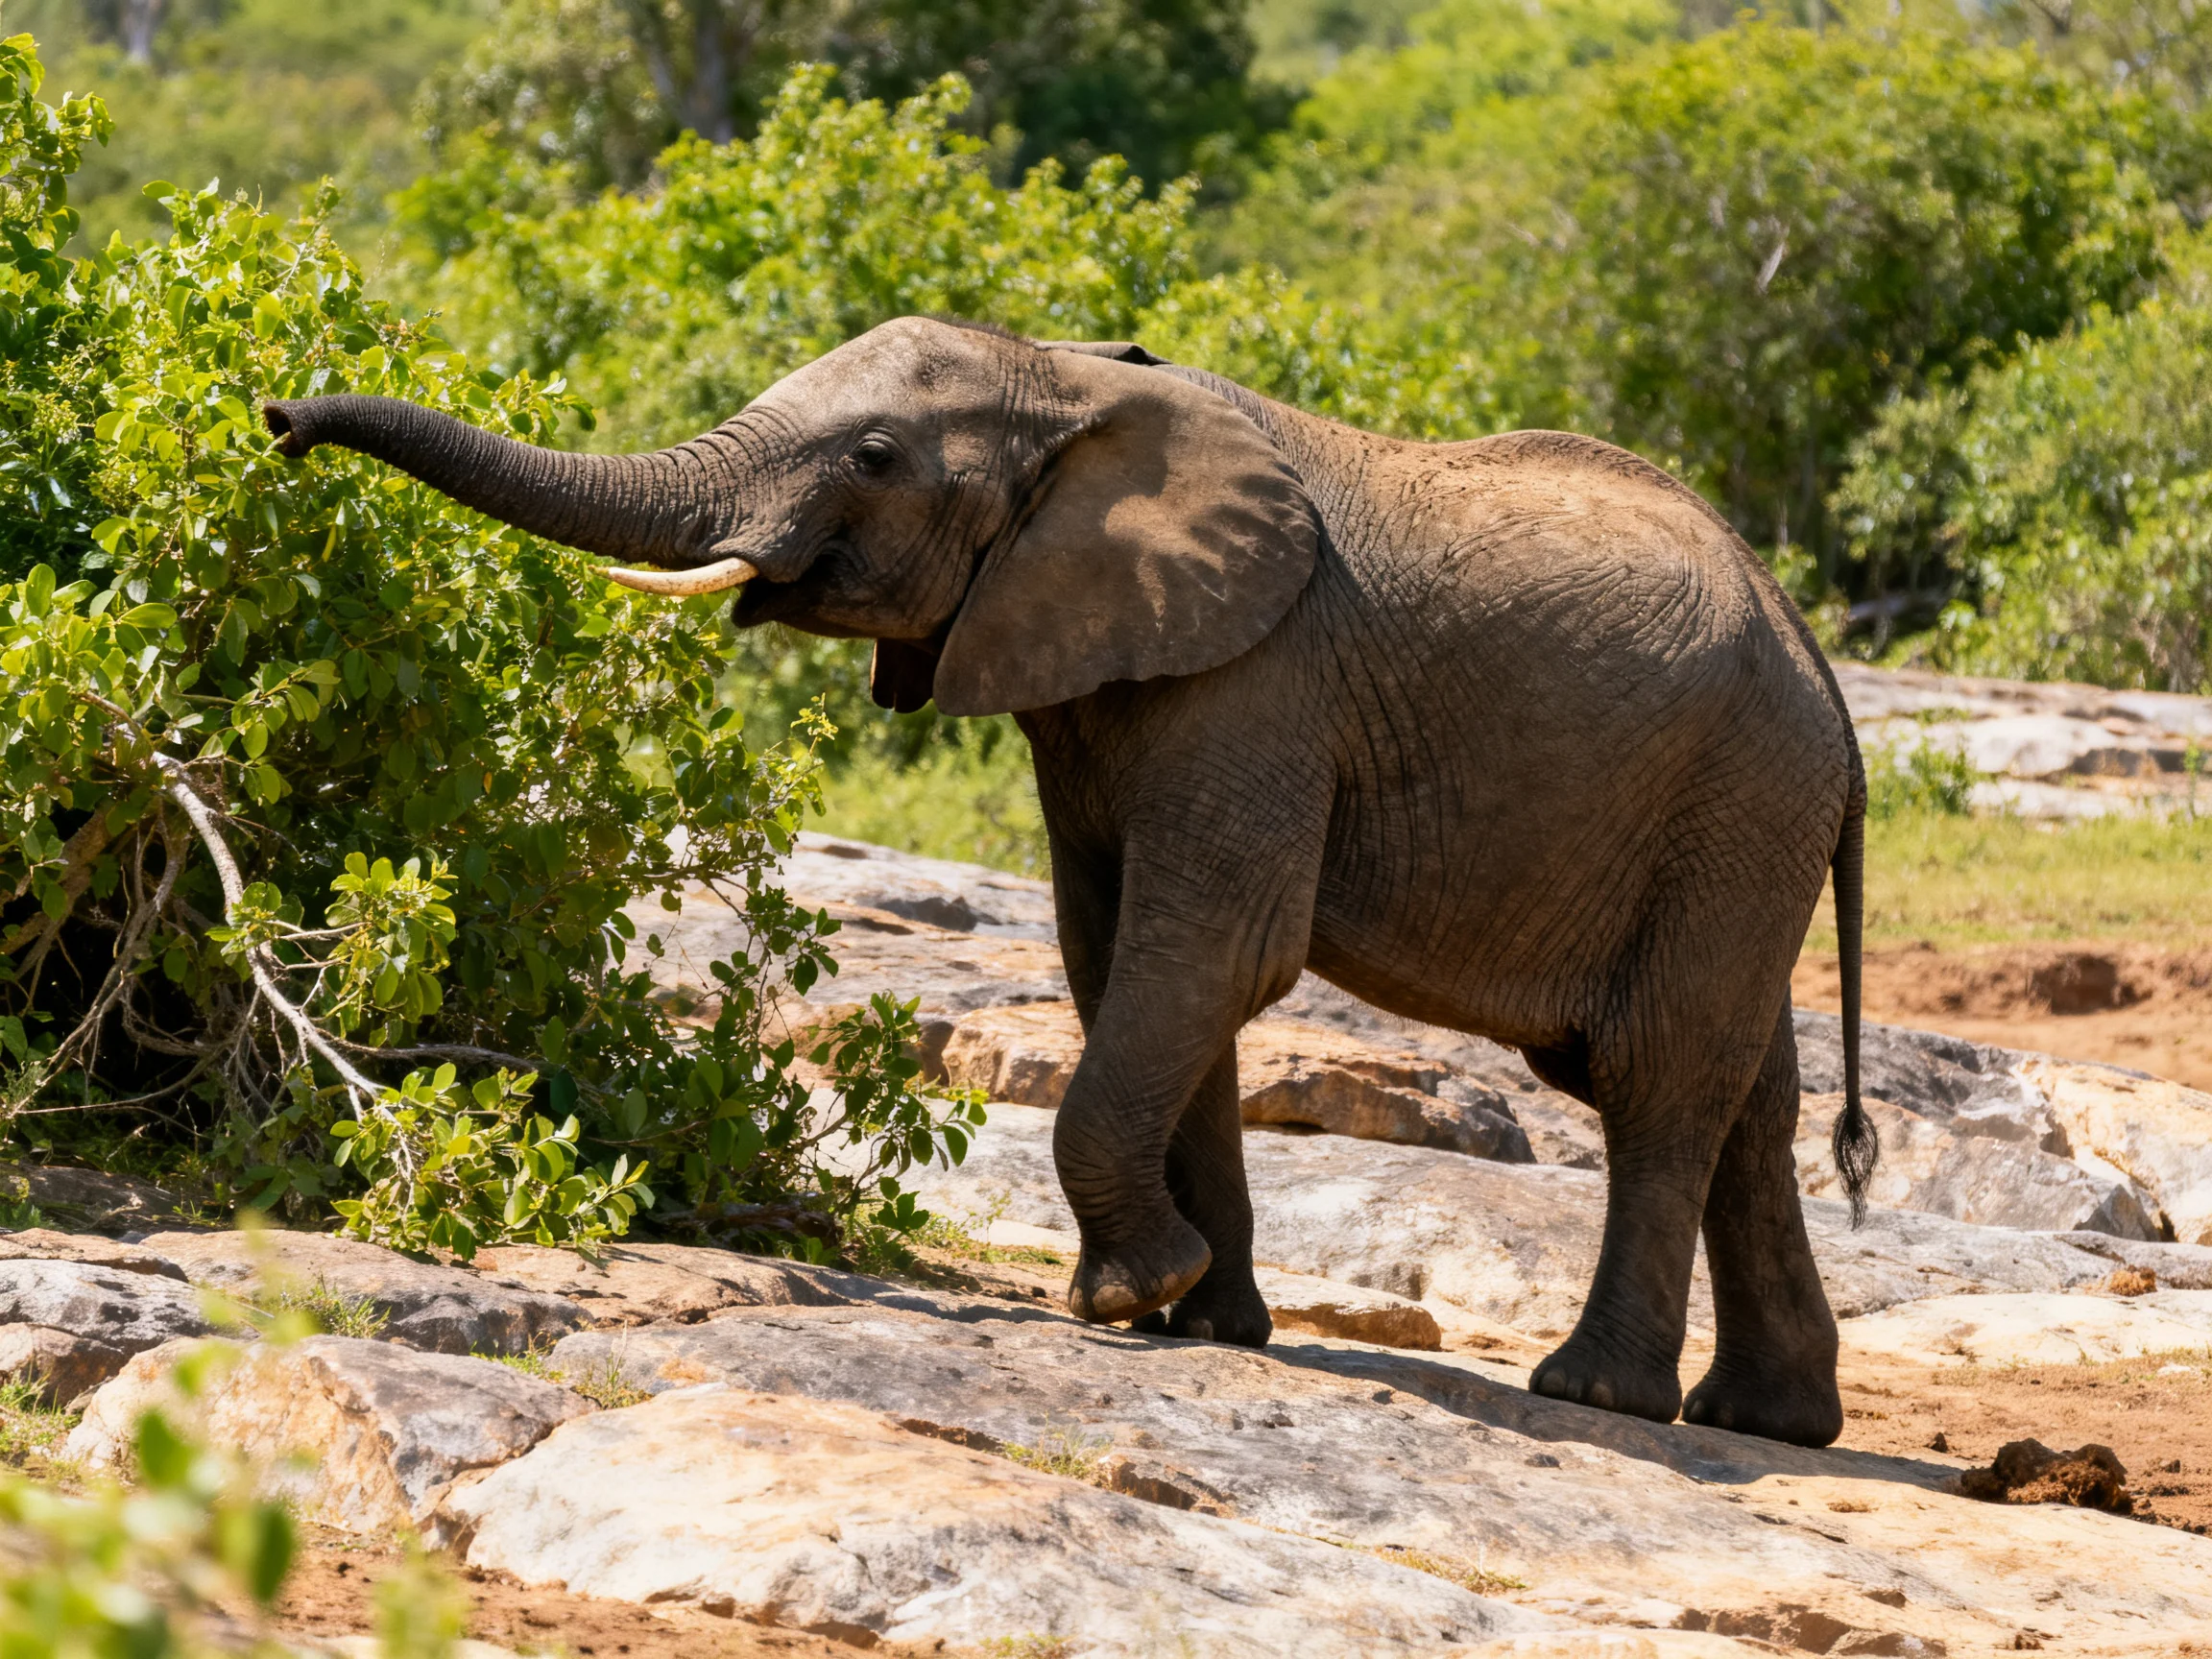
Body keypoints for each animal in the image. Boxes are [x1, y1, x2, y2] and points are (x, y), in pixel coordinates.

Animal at [262, 315, 1876, 1447]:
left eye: (872, 458)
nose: (276, 424)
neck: (1063, 378)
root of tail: (1832, 686)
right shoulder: (1105, 684)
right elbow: (1124, 963)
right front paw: (1198, 1323)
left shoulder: (1260, 681)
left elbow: (1212, 953)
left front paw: (1129, 1300)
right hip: (1737, 826)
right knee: (1747, 1092)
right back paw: (1770, 1422)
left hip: (1736, 801)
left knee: (1658, 1076)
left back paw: (1593, 1398)